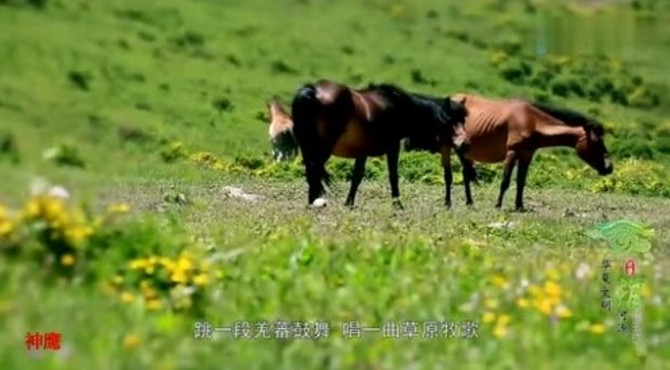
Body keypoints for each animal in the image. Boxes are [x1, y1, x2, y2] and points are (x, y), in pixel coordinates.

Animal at [292, 79, 470, 208]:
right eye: (454, 122)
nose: (464, 145)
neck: (399, 108)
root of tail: (311, 91)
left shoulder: (362, 152)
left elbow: (357, 177)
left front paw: (349, 203)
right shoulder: (393, 147)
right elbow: (393, 176)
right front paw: (397, 204)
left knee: (311, 170)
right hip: (323, 146)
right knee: (314, 170)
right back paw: (315, 201)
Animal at [406, 94, 616, 211]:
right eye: (597, 143)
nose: (609, 167)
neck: (531, 121)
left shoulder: (527, 155)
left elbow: (521, 182)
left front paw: (519, 206)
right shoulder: (512, 153)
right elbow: (505, 181)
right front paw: (498, 205)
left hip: (464, 150)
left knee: (465, 174)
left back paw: (469, 202)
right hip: (446, 146)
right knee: (448, 175)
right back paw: (448, 203)